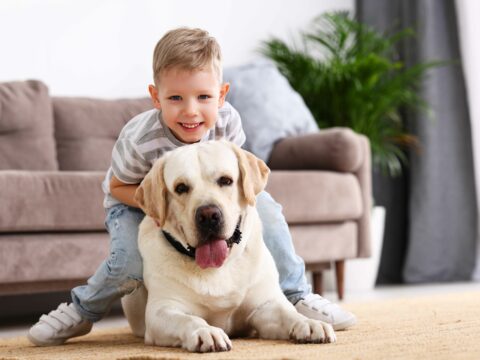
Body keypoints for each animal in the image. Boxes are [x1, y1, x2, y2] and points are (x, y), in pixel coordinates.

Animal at [121, 140, 338, 352]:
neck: (219, 268)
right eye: (181, 187)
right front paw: (206, 331)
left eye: (225, 180)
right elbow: (188, 319)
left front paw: (309, 323)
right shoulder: (162, 311)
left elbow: (288, 313)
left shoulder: (264, 305)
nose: (208, 215)